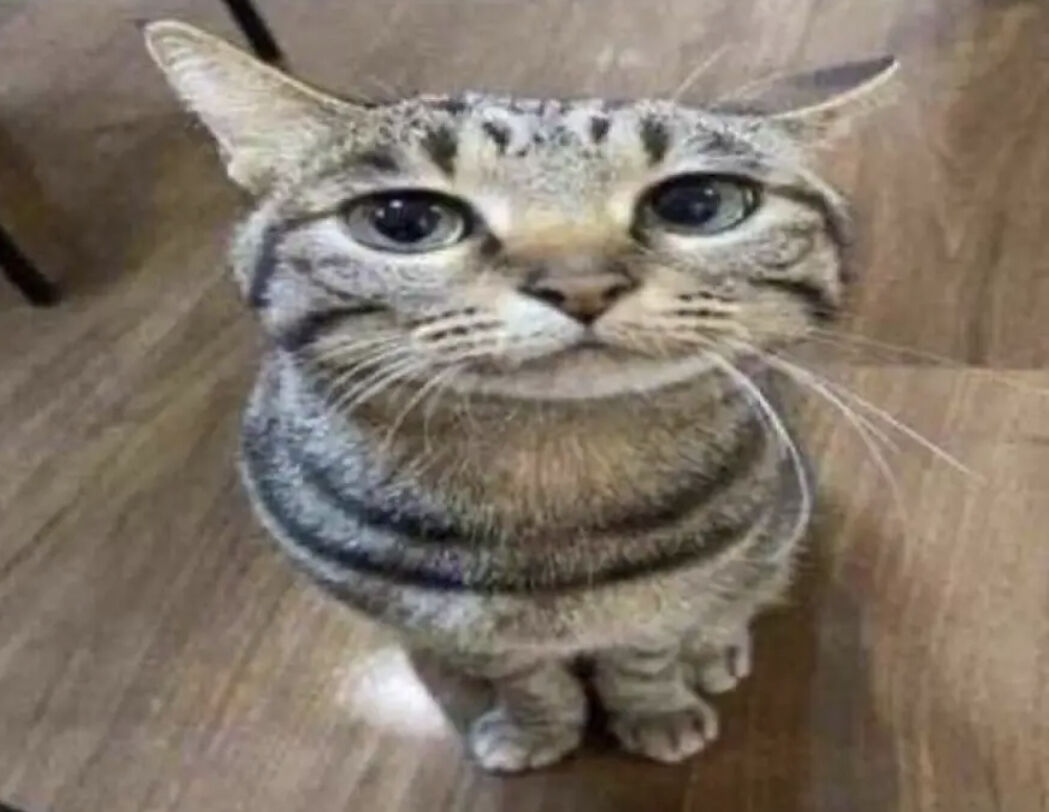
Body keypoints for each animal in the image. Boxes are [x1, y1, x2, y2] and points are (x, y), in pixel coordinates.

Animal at [145, 20, 896, 772]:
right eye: (403, 221)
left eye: (697, 205)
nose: (580, 284)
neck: (546, 477)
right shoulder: (471, 630)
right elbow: (527, 678)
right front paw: (538, 728)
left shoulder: (671, 600)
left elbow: (646, 659)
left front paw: (656, 713)